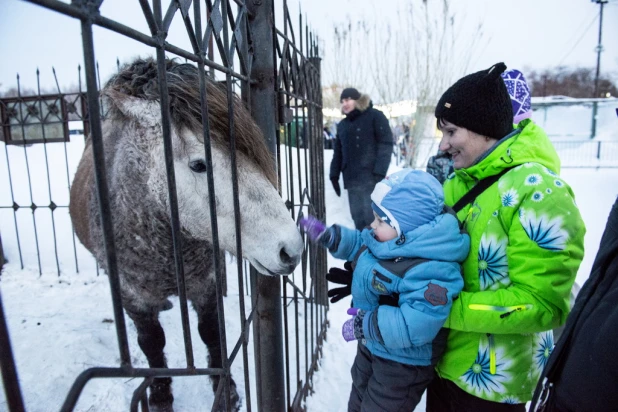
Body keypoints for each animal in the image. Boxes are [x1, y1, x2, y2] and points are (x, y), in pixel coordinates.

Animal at [70, 56, 304, 410]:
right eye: (198, 164)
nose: (291, 249)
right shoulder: (132, 296)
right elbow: (151, 343)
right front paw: (160, 394)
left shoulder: (207, 282)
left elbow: (211, 332)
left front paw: (227, 391)